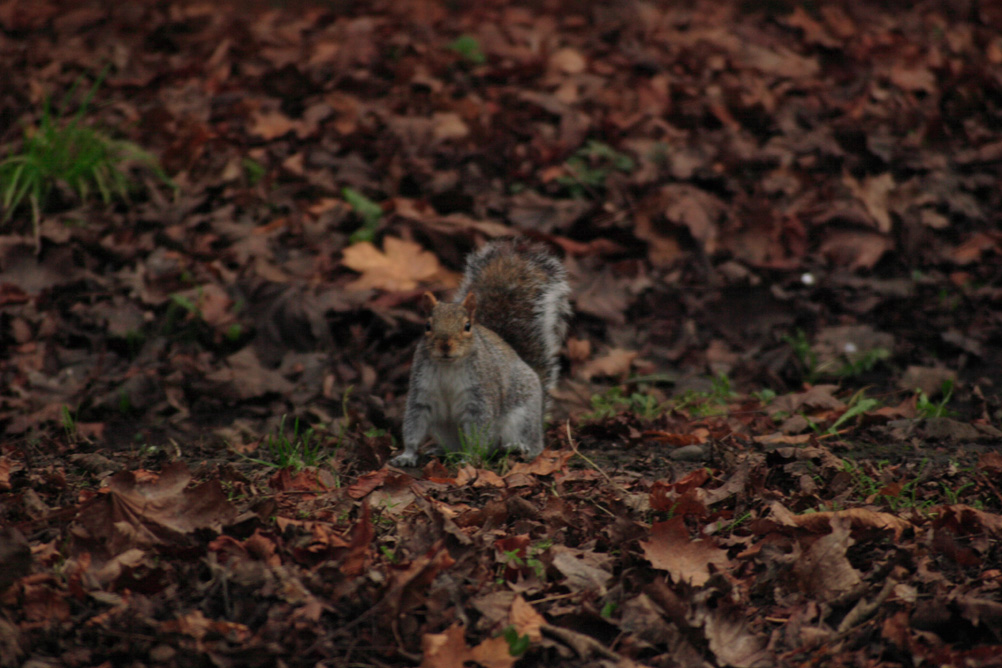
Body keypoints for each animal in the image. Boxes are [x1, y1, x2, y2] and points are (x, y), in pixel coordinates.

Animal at [390, 239, 571, 467]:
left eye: (467, 326)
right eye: (427, 326)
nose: (445, 346)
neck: (448, 366)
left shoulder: (481, 395)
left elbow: (479, 430)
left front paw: (470, 458)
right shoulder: (421, 392)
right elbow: (414, 424)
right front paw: (407, 455)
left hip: (521, 418)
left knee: (523, 445)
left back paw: (519, 447)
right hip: (443, 428)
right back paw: (441, 451)